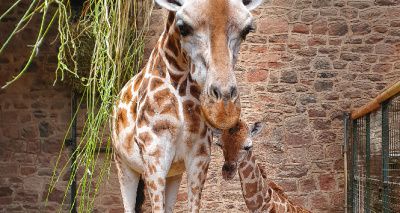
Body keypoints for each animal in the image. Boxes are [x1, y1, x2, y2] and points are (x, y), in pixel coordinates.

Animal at [111, 0, 262, 212]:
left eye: (247, 30)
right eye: (182, 27)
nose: (224, 105)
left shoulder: (200, 157)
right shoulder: (154, 155)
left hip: (174, 173)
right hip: (124, 163)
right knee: (128, 205)